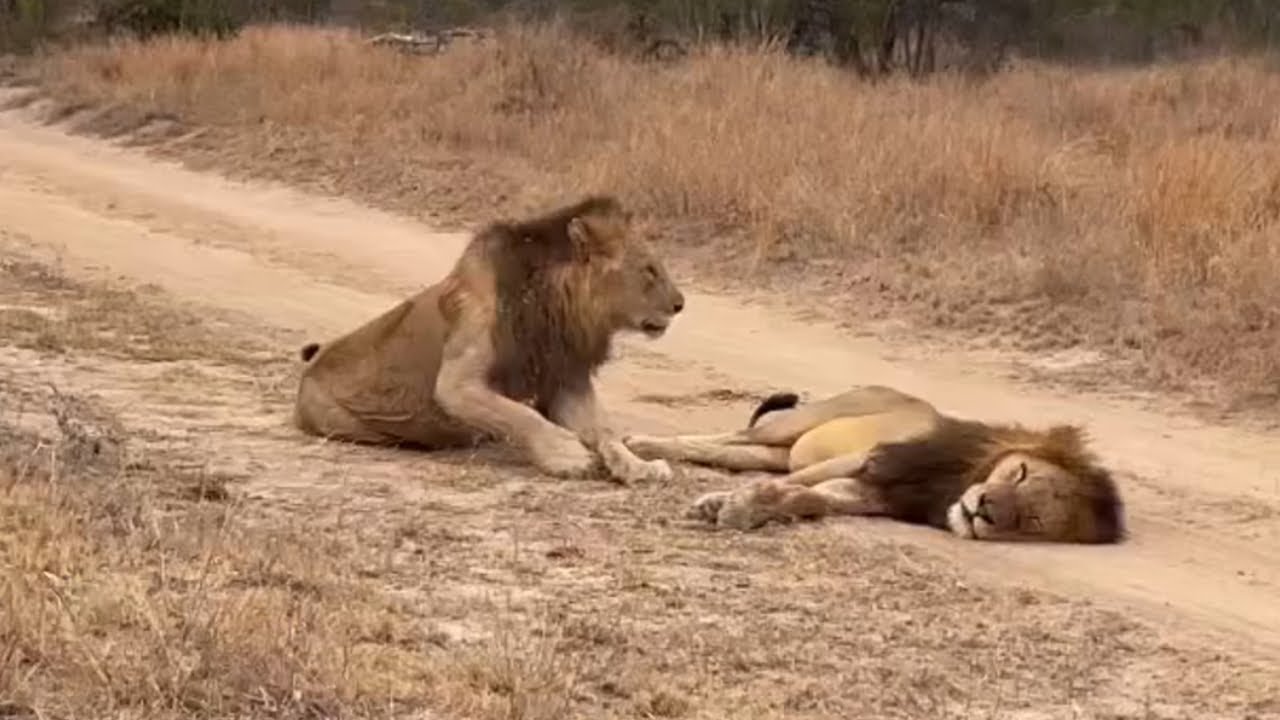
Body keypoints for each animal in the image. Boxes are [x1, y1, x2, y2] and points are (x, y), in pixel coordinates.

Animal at [292, 195, 685, 484]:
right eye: (649, 270)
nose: (680, 304)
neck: (561, 306)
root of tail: (311, 367)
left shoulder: (564, 377)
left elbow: (604, 429)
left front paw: (639, 466)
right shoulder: (458, 383)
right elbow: (523, 416)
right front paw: (567, 455)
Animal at [623, 385, 1125, 543]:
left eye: (1032, 519)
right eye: (1020, 474)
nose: (984, 509)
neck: (955, 482)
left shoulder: (870, 493)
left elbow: (806, 496)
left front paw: (748, 506)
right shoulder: (870, 460)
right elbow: (799, 483)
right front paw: (723, 503)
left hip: (775, 451)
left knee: (730, 452)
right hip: (796, 426)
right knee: (730, 437)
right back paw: (639, 446)